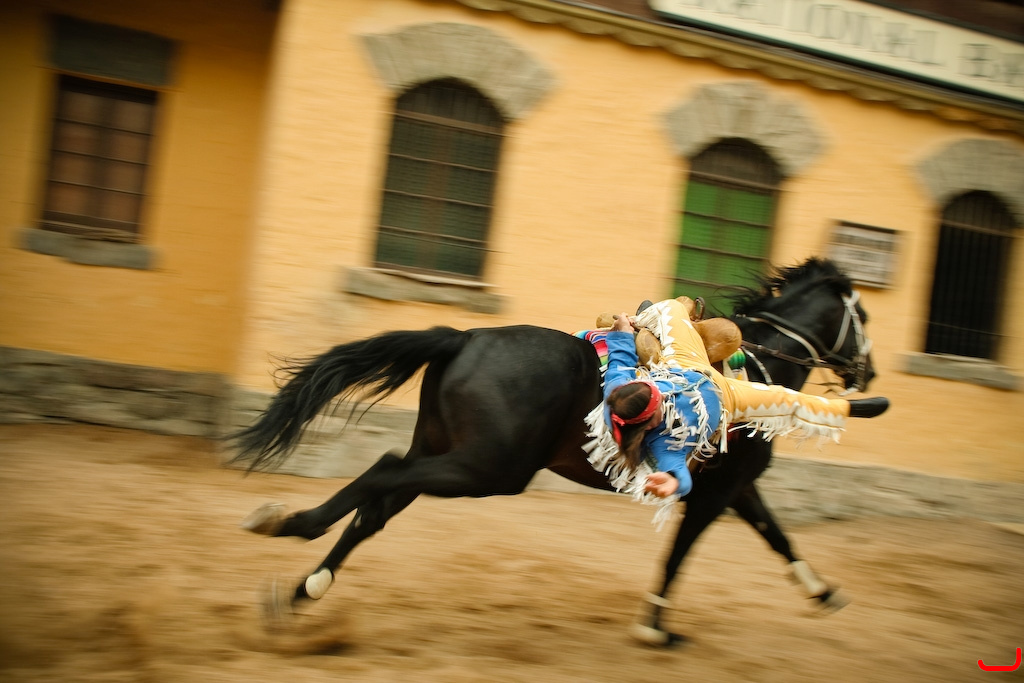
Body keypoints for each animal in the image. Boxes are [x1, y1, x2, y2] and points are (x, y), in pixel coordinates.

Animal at [232, 257, 876, 646]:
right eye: (862, 317)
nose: (865, 371)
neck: (756, 368)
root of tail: (463, 337)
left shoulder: (736, 488)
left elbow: (779, 537)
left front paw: (823, 592)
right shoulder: (716, 492)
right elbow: (681, 555)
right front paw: (654, 628)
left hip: (451, 452)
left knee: (379, 502)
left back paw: (302, 587)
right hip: (489, 467)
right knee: (384, 474)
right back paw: (292, 526)